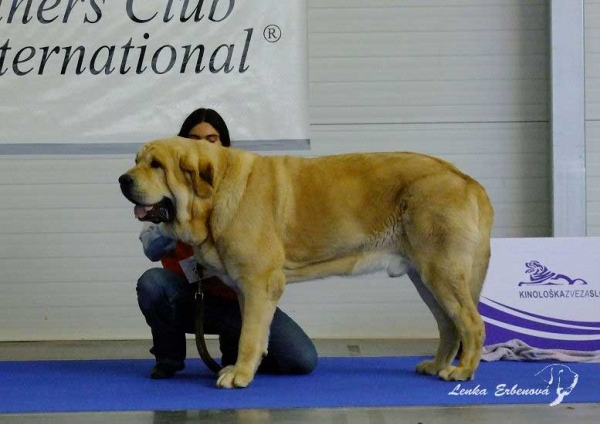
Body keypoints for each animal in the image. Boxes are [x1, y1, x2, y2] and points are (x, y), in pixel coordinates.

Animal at [118, 137, 492, 390]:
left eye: (156, 165)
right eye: (136, 160)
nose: (123, 179)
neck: (218, 191)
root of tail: (465, 178)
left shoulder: (259, 282)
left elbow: (248, 334)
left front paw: (240, 374)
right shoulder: (247, 289)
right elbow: (252, 331)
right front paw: (244, 367)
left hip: (441, 274)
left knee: (472, 324)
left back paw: (462, 371)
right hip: (425, 278)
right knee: (449, 326)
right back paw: (437, 365)